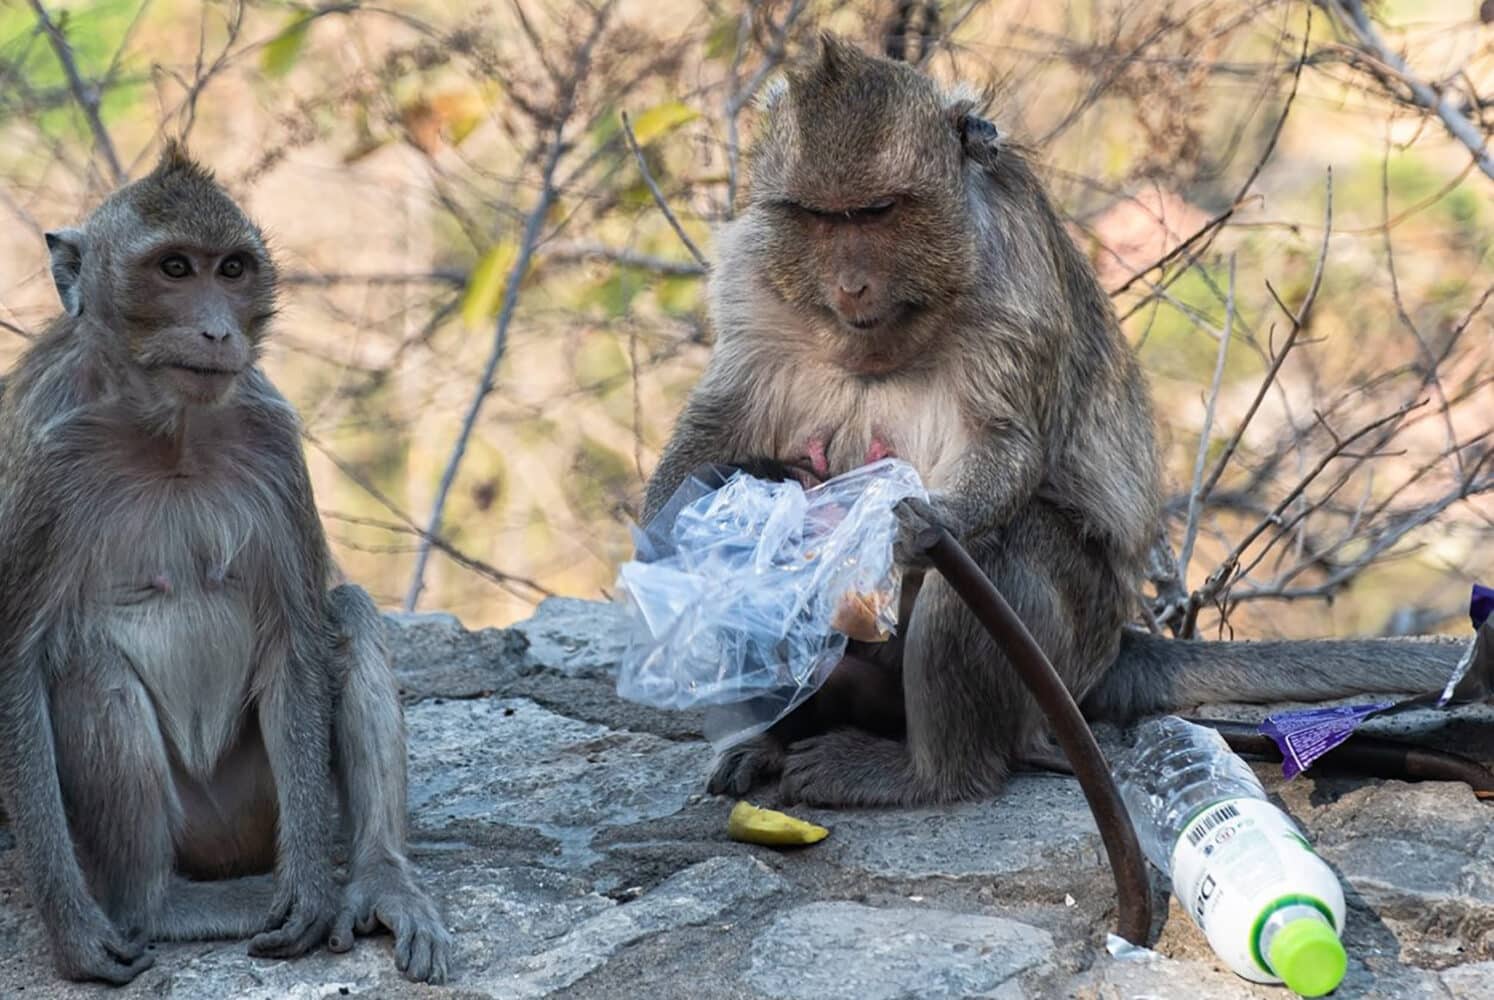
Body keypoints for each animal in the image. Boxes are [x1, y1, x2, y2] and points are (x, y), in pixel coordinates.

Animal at [0, 146, 448, 980]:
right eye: (175, 268)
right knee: (87, 670)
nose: (216, 331)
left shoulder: (274, 439)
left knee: (347, 614)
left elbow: (299, 633)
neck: (165, 428)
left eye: (232, 270)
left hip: (256, 807)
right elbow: (14, 661)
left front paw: (310, 895)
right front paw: (73, 932)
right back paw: (159, 907)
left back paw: (377, 880)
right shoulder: (43, 460)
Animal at [642, 35, 1458, 807]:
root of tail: (1112, 651)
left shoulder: (1015, 290)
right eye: (819, 217)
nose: (850, 283)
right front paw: (672, 530)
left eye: (878, 212)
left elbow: (998, 450)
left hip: (1067, 649)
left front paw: (918, 523)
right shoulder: (751, 277)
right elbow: (720, 422)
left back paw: (930, 774)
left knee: (998, 555)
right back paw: (769, 736)